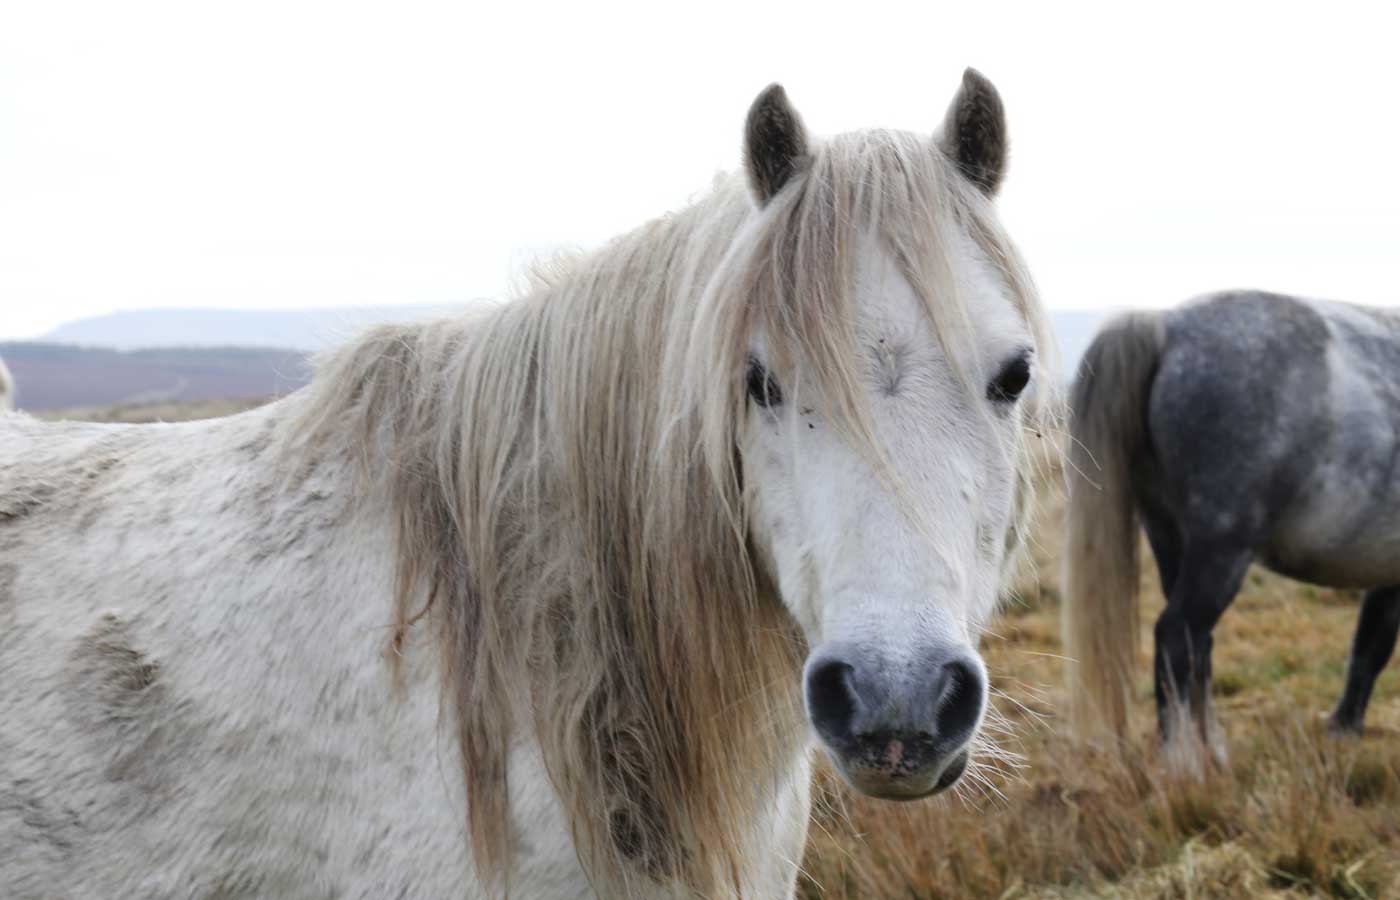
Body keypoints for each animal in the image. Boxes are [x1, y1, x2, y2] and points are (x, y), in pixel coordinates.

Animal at [1064, 290, 1400, 765]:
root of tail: (1167, 326)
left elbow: (1370, 646)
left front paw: (1343, 730)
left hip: (1170, 538)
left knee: (1198, 646)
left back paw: (1211, 751)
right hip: (1222, 550)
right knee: (1177, 635)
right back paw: (1184, 763)